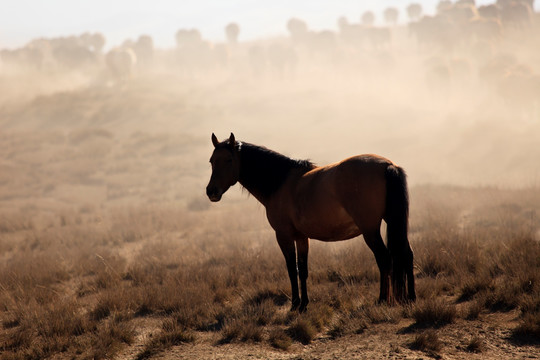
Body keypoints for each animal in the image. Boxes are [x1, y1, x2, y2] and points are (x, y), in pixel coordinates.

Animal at [206, 133, 414, 312]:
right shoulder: (301, 237)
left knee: (384, 259)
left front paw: (294, 304)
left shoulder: (283, 236)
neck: (280, 183)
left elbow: (292, 269)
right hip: (392, 222)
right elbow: (303, 270)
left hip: (370, 230)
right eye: (211, 161)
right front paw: (304, 304)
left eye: (229, 160)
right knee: (406, 254)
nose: (211, 191)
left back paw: (382, 300)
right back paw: (410, 299)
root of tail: (387, 165)